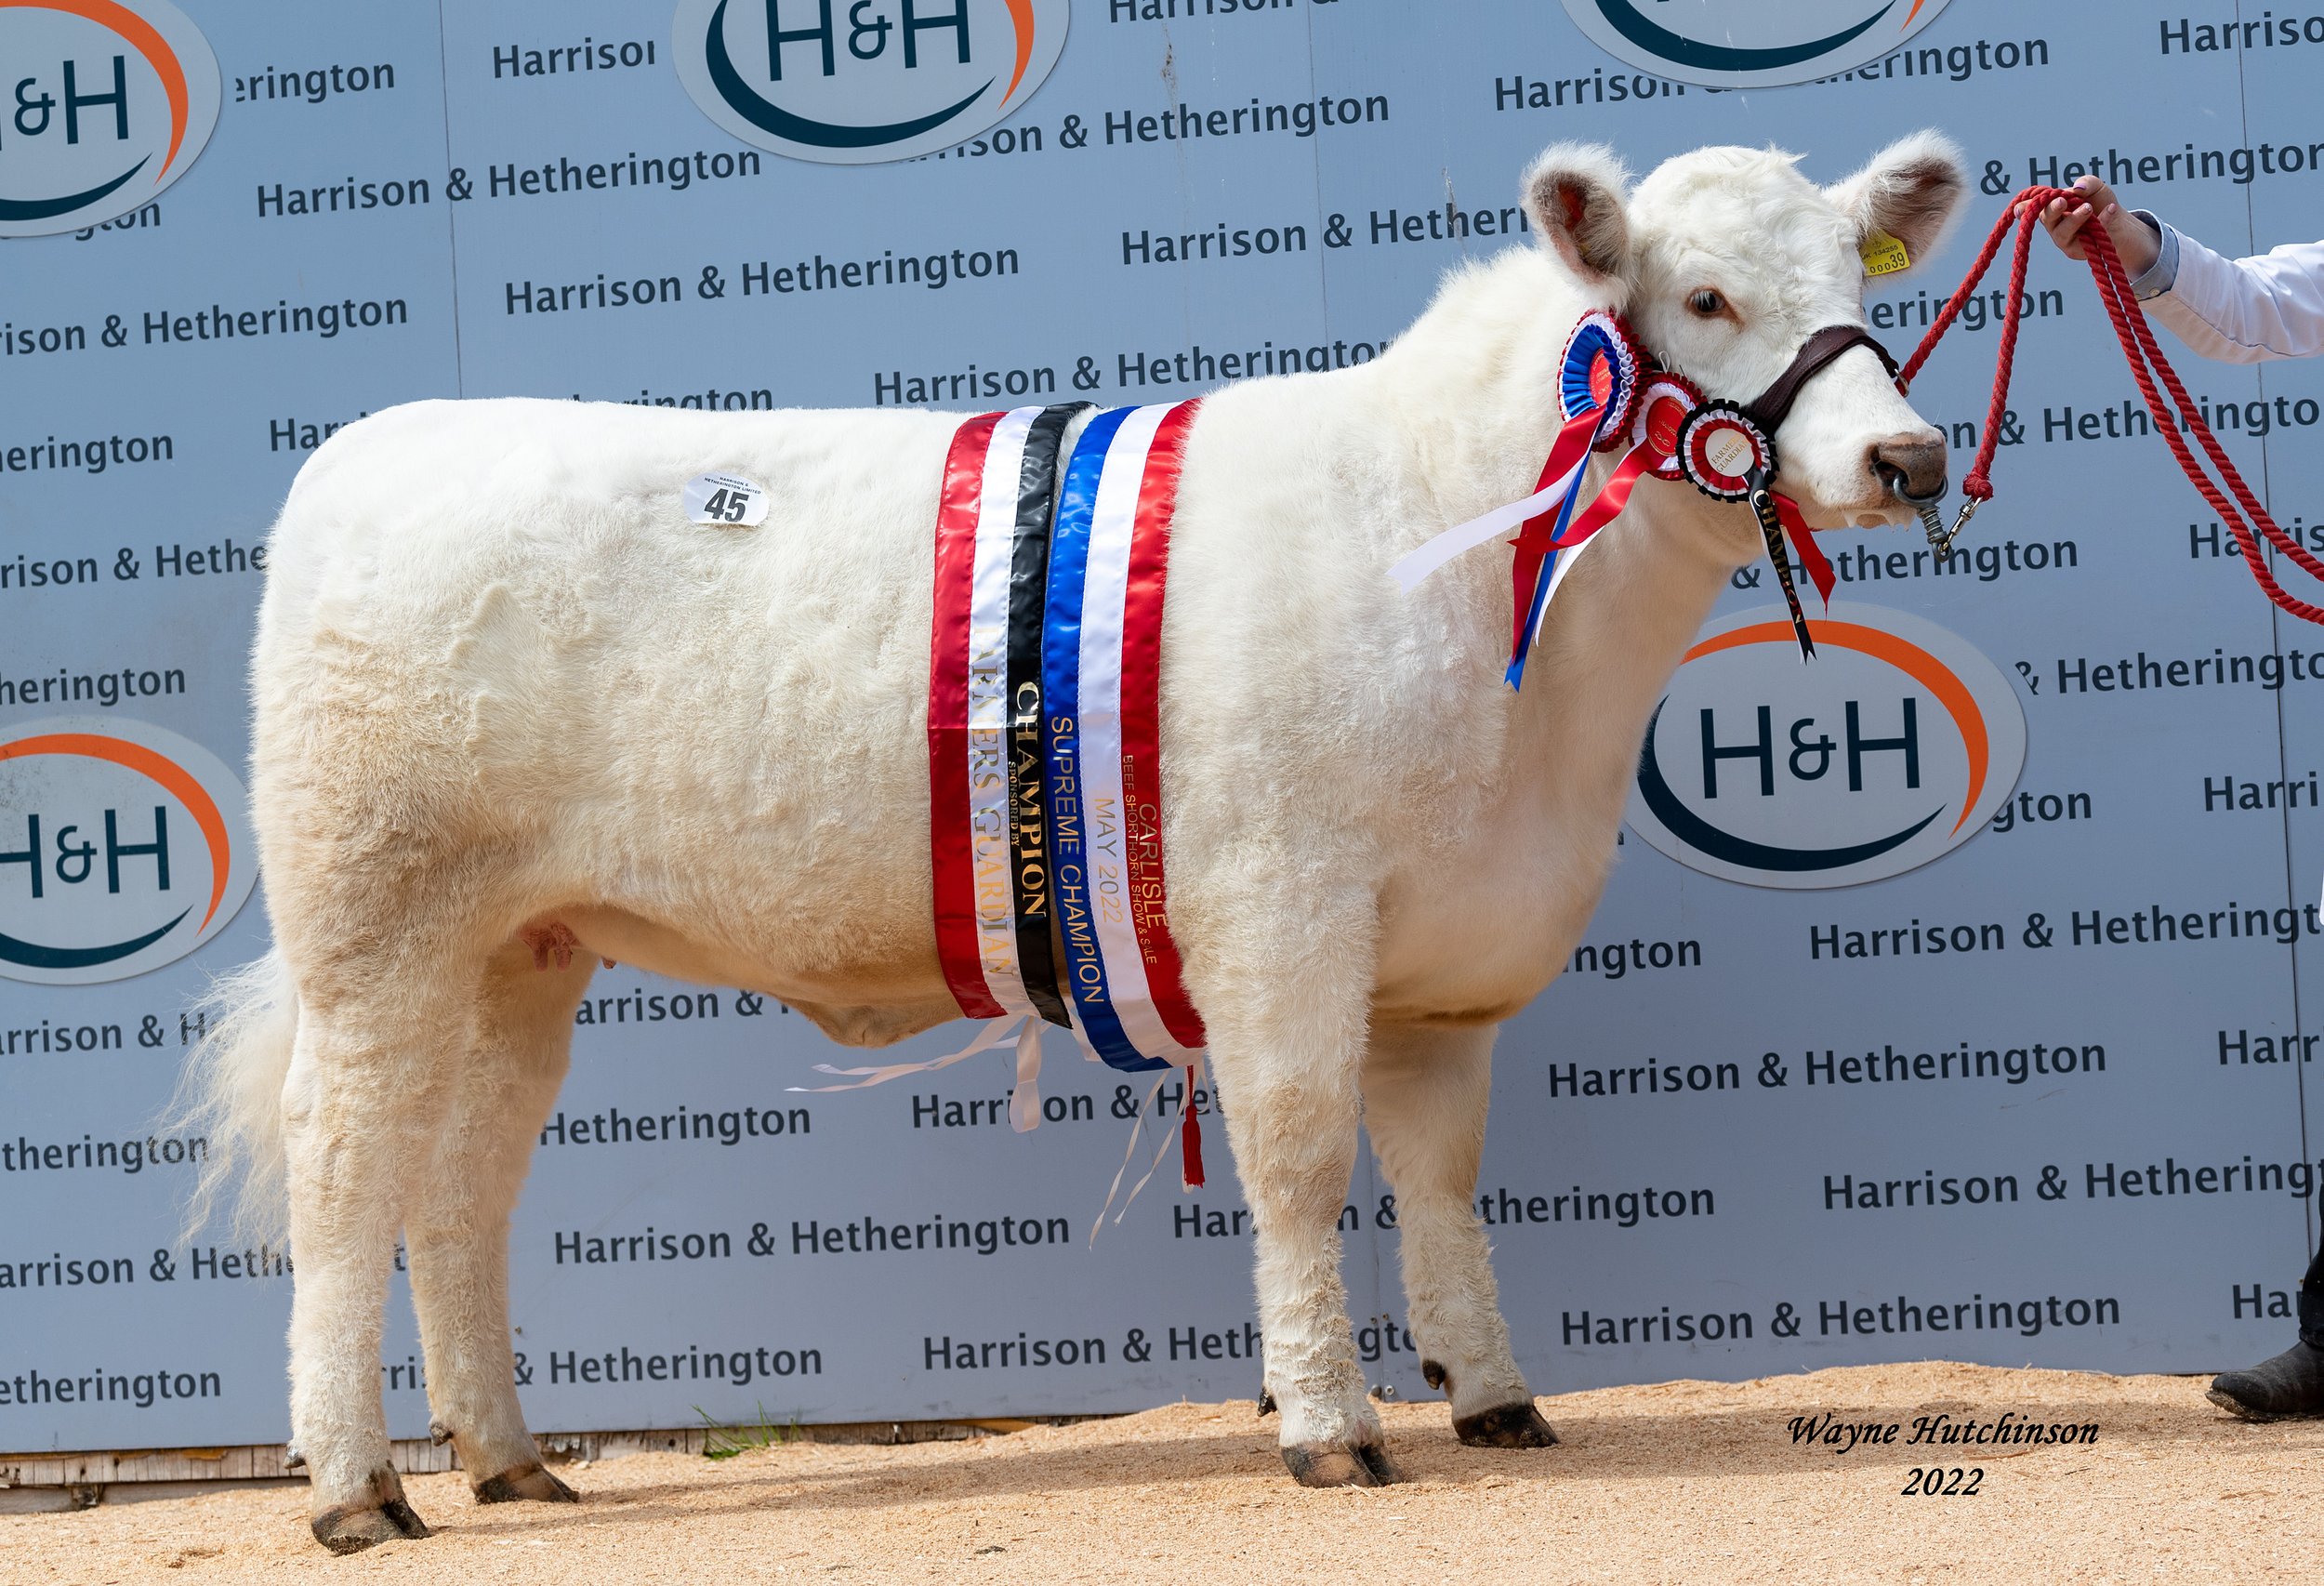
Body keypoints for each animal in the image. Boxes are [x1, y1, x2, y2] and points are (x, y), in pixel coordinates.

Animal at [181, 136, 1961, 1543]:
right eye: (1706, 299)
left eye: (1855, 280)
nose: (1908, 454)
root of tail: (381, 442)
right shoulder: (1284, 910)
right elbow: (1300, 1161)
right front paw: (1331, 1429)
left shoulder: (1449, 956)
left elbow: (1441, 1174)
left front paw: (1499, 1403)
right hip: (375, 913)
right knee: (344, 1168)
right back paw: (356, 1488)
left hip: (516, 950)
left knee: (461, 1185)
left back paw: (507, 1460)